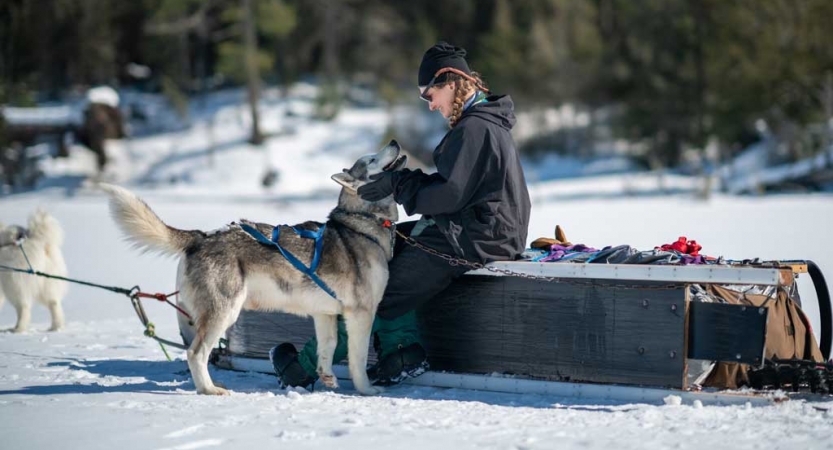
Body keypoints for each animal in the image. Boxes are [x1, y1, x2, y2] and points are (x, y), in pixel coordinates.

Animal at [101, 140, 406, 394]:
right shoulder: (361, 314)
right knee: (196, 353)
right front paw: (367, 390)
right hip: (224, 311)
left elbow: (327, 349)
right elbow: (358, 360)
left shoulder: (325, 314)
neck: (362, 224)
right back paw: (209, 390)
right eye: (371, 159)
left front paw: (327, 377)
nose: (393, 141)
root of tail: (201, 236)